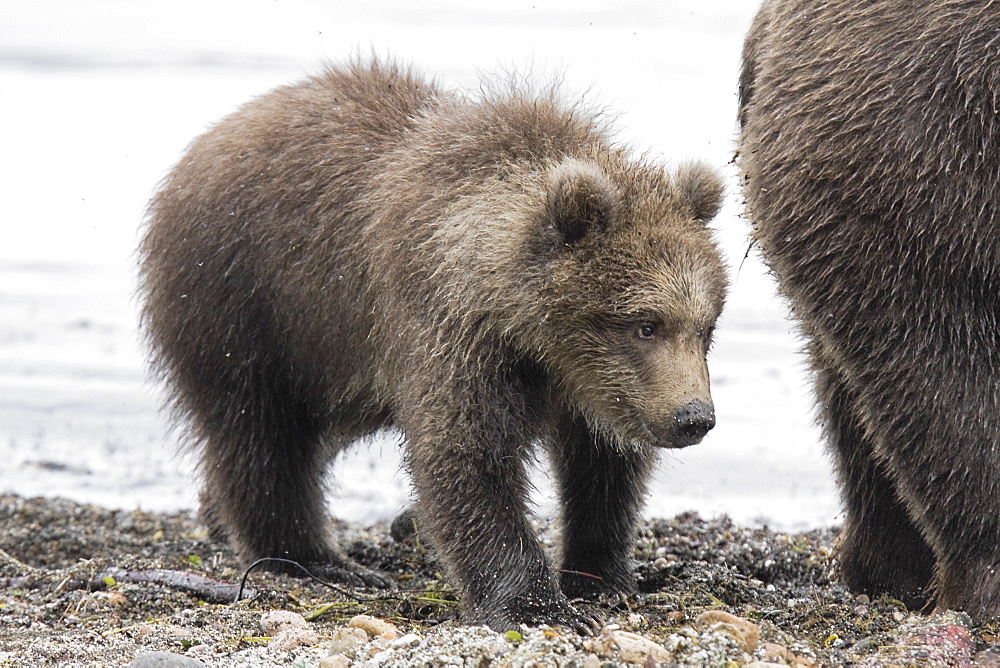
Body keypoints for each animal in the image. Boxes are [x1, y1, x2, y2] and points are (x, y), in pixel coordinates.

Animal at [139, 58, 728, 632]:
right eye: (645, 324)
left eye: (706, 326)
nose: (693, 417)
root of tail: (212, 138)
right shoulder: (450, 327)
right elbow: (466, 454)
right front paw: (536, 606)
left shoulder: (601, 385)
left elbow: (604, 467)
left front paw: (604, 576)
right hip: (248, 306)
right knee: (261, 434)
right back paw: (314, 558)